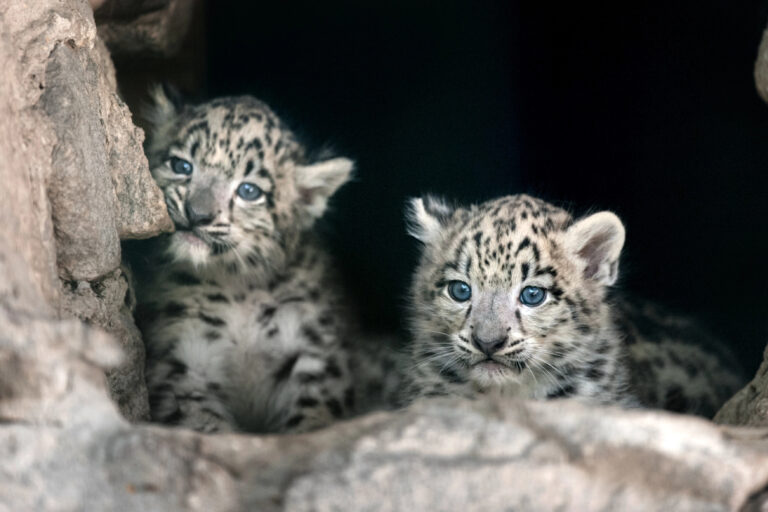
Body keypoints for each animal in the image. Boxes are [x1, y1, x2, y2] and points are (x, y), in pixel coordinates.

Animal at [132, 86, 358, 434]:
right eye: (181, 165)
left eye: (249, 191)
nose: (197, 214)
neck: (238, 289)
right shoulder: (182, 362)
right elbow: (204, 423)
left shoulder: (315, 356)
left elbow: (313, 416)